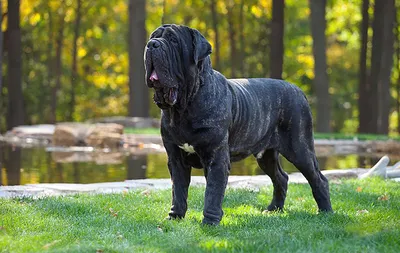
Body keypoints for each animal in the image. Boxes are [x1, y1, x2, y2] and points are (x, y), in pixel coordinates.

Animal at [144, 24, 332, 225]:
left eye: (173, 40)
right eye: (153, 36)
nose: (152, 44)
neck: (184, 106)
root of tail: (298, 90)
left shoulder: (216, 157)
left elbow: (213, 191)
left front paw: (209, 222)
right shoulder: (176, 158)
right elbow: (178, 190)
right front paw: (175, 216)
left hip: (300, 148)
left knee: (318, 178)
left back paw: (326, 212)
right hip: (266, 154)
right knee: (281, 178)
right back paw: (274, 209)